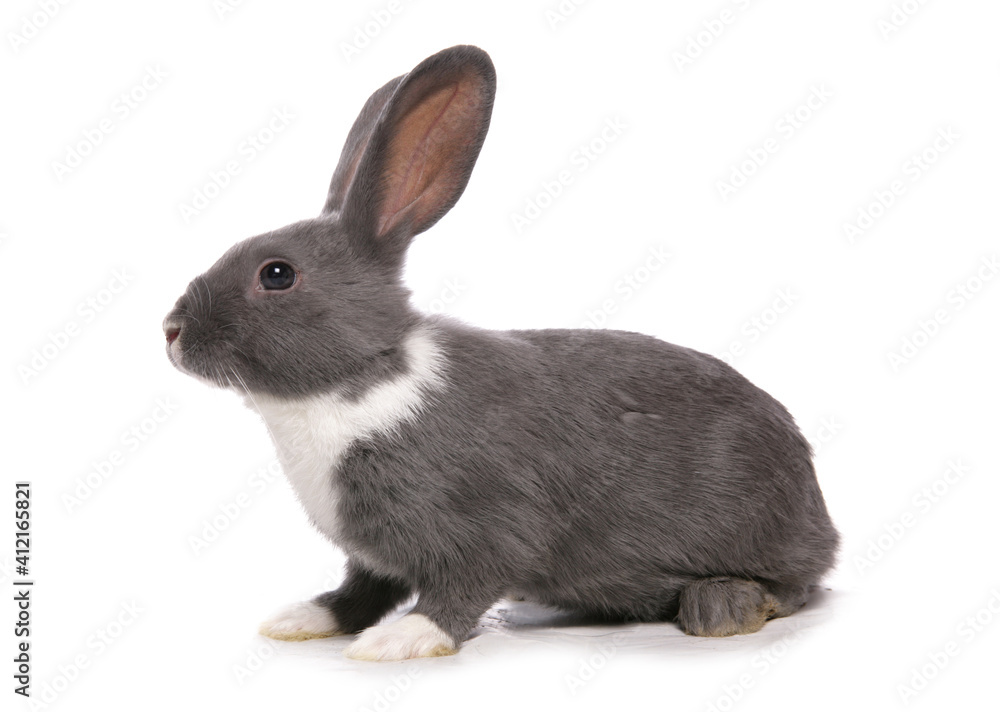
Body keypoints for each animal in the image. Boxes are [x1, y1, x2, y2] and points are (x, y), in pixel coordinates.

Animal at [163, 45, 839, 662]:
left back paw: (722, 605)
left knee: (795, 586)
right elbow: (360, 591)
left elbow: (460, 589)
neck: (363, 378)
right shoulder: (369, 557)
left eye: (277, 274)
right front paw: (301, 619)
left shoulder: (485, 526)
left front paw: (400, 640)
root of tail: (820, 512)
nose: (171, 330)